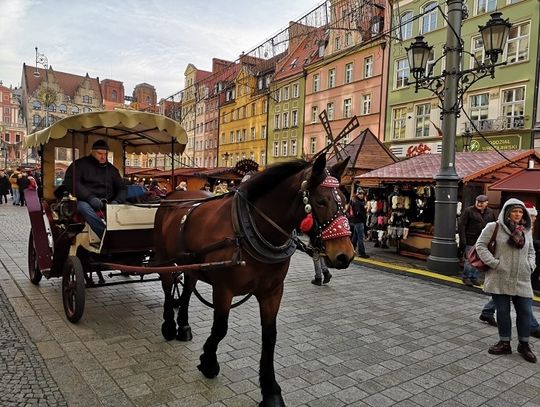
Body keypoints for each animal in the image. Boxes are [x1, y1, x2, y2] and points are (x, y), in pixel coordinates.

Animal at [153, 154, 354, 407]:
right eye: (320, 201)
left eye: (345, 200)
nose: (345, 255)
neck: (251, 227)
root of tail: (172, 195)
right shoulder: (223, 289)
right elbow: (220, 328)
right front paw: (208, 361)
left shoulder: (272, 292)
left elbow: (270, 336)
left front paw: (270, 389)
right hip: (164, 257)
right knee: (168, 286)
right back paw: (170, 326)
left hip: (192, 266)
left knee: (187, 289)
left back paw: (184, 326)